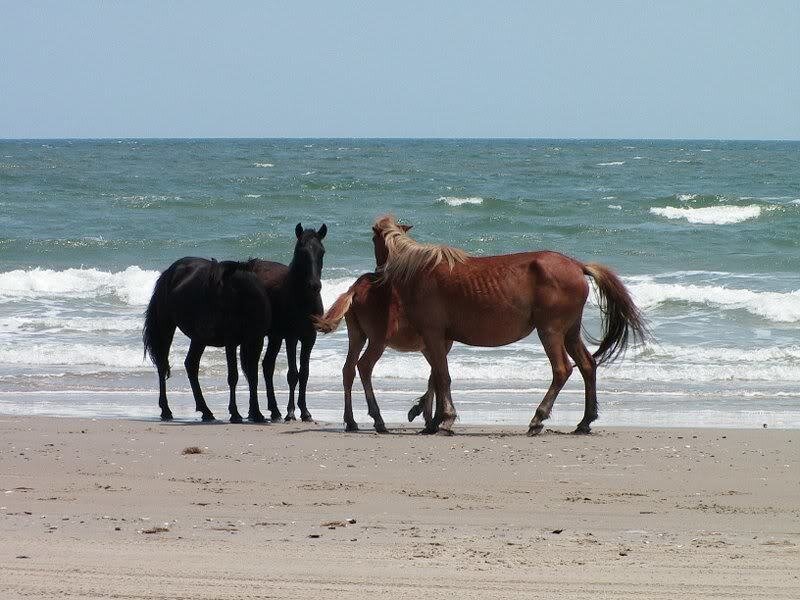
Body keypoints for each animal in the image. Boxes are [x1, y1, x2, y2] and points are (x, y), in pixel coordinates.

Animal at [143, 258, 271, 423]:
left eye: (218, 293)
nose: (205, 326)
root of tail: (170, 272)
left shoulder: (255, 341)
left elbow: (253, 376)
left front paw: (256, 413)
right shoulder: (231, 342)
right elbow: (233, 377)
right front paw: (235, 413)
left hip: (198, 340)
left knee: (190, 364)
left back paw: (206, 411)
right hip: (167, 327)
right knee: (162, 365)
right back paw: (166, 410)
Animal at [252, 223, 326, 422]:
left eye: (322, 252)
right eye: (301, 252)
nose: (315, 285)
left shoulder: (309, 338)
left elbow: (304, 374)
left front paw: (305, 412)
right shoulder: (291, 337)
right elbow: (293, 374)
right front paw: (291, 412)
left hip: (275, 337)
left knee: (267, 366)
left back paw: (274, 411)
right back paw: (257, 412)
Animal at [371, 214, 649, 436]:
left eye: (373, 241)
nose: (378, 272)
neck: (421, 270)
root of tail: (578, 266)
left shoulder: (434, 335)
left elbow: (442, 377)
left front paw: (444, 420)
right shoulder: (440, 339)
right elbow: (436, 378)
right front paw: (432, 417)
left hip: (550, 332)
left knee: (562, 370)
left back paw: (538, 419)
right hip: (570, 332)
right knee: (587, 365)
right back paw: (585, 422)